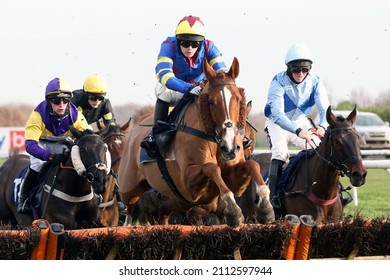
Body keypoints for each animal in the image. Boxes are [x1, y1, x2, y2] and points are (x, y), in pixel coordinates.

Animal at [118, 57, 274, 228]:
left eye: (239, 100)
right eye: (211, 102)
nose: (231, 148)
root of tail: (134, 131)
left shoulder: (235, 180)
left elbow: (252, 165)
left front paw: (265, 208)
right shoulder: (189, 185)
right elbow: (211, 168)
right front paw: (233, 211)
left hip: (172, 203)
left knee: (161, 215)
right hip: (128, 188)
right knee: (129, 212)